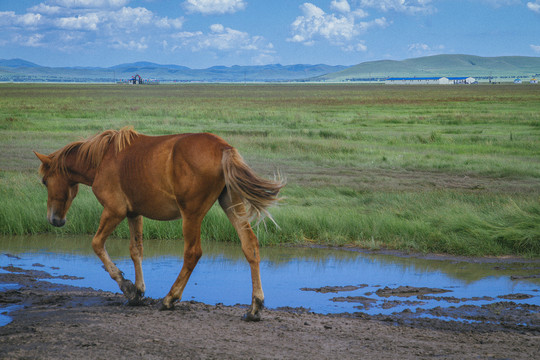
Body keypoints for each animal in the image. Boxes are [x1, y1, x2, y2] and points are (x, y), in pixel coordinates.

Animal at [34, 127, 284, 320]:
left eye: (45, 181)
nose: (54, 219)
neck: (103, 158)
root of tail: (223, 147)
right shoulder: (134, 214)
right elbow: (136, 250)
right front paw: (138, 292)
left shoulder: (114, 211)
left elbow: (97, 244)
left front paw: (126, 286)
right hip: (231, 204)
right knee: (250, 245)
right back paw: (255, 307)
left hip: (191, 214)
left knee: (192, 252)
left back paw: (169, 299)